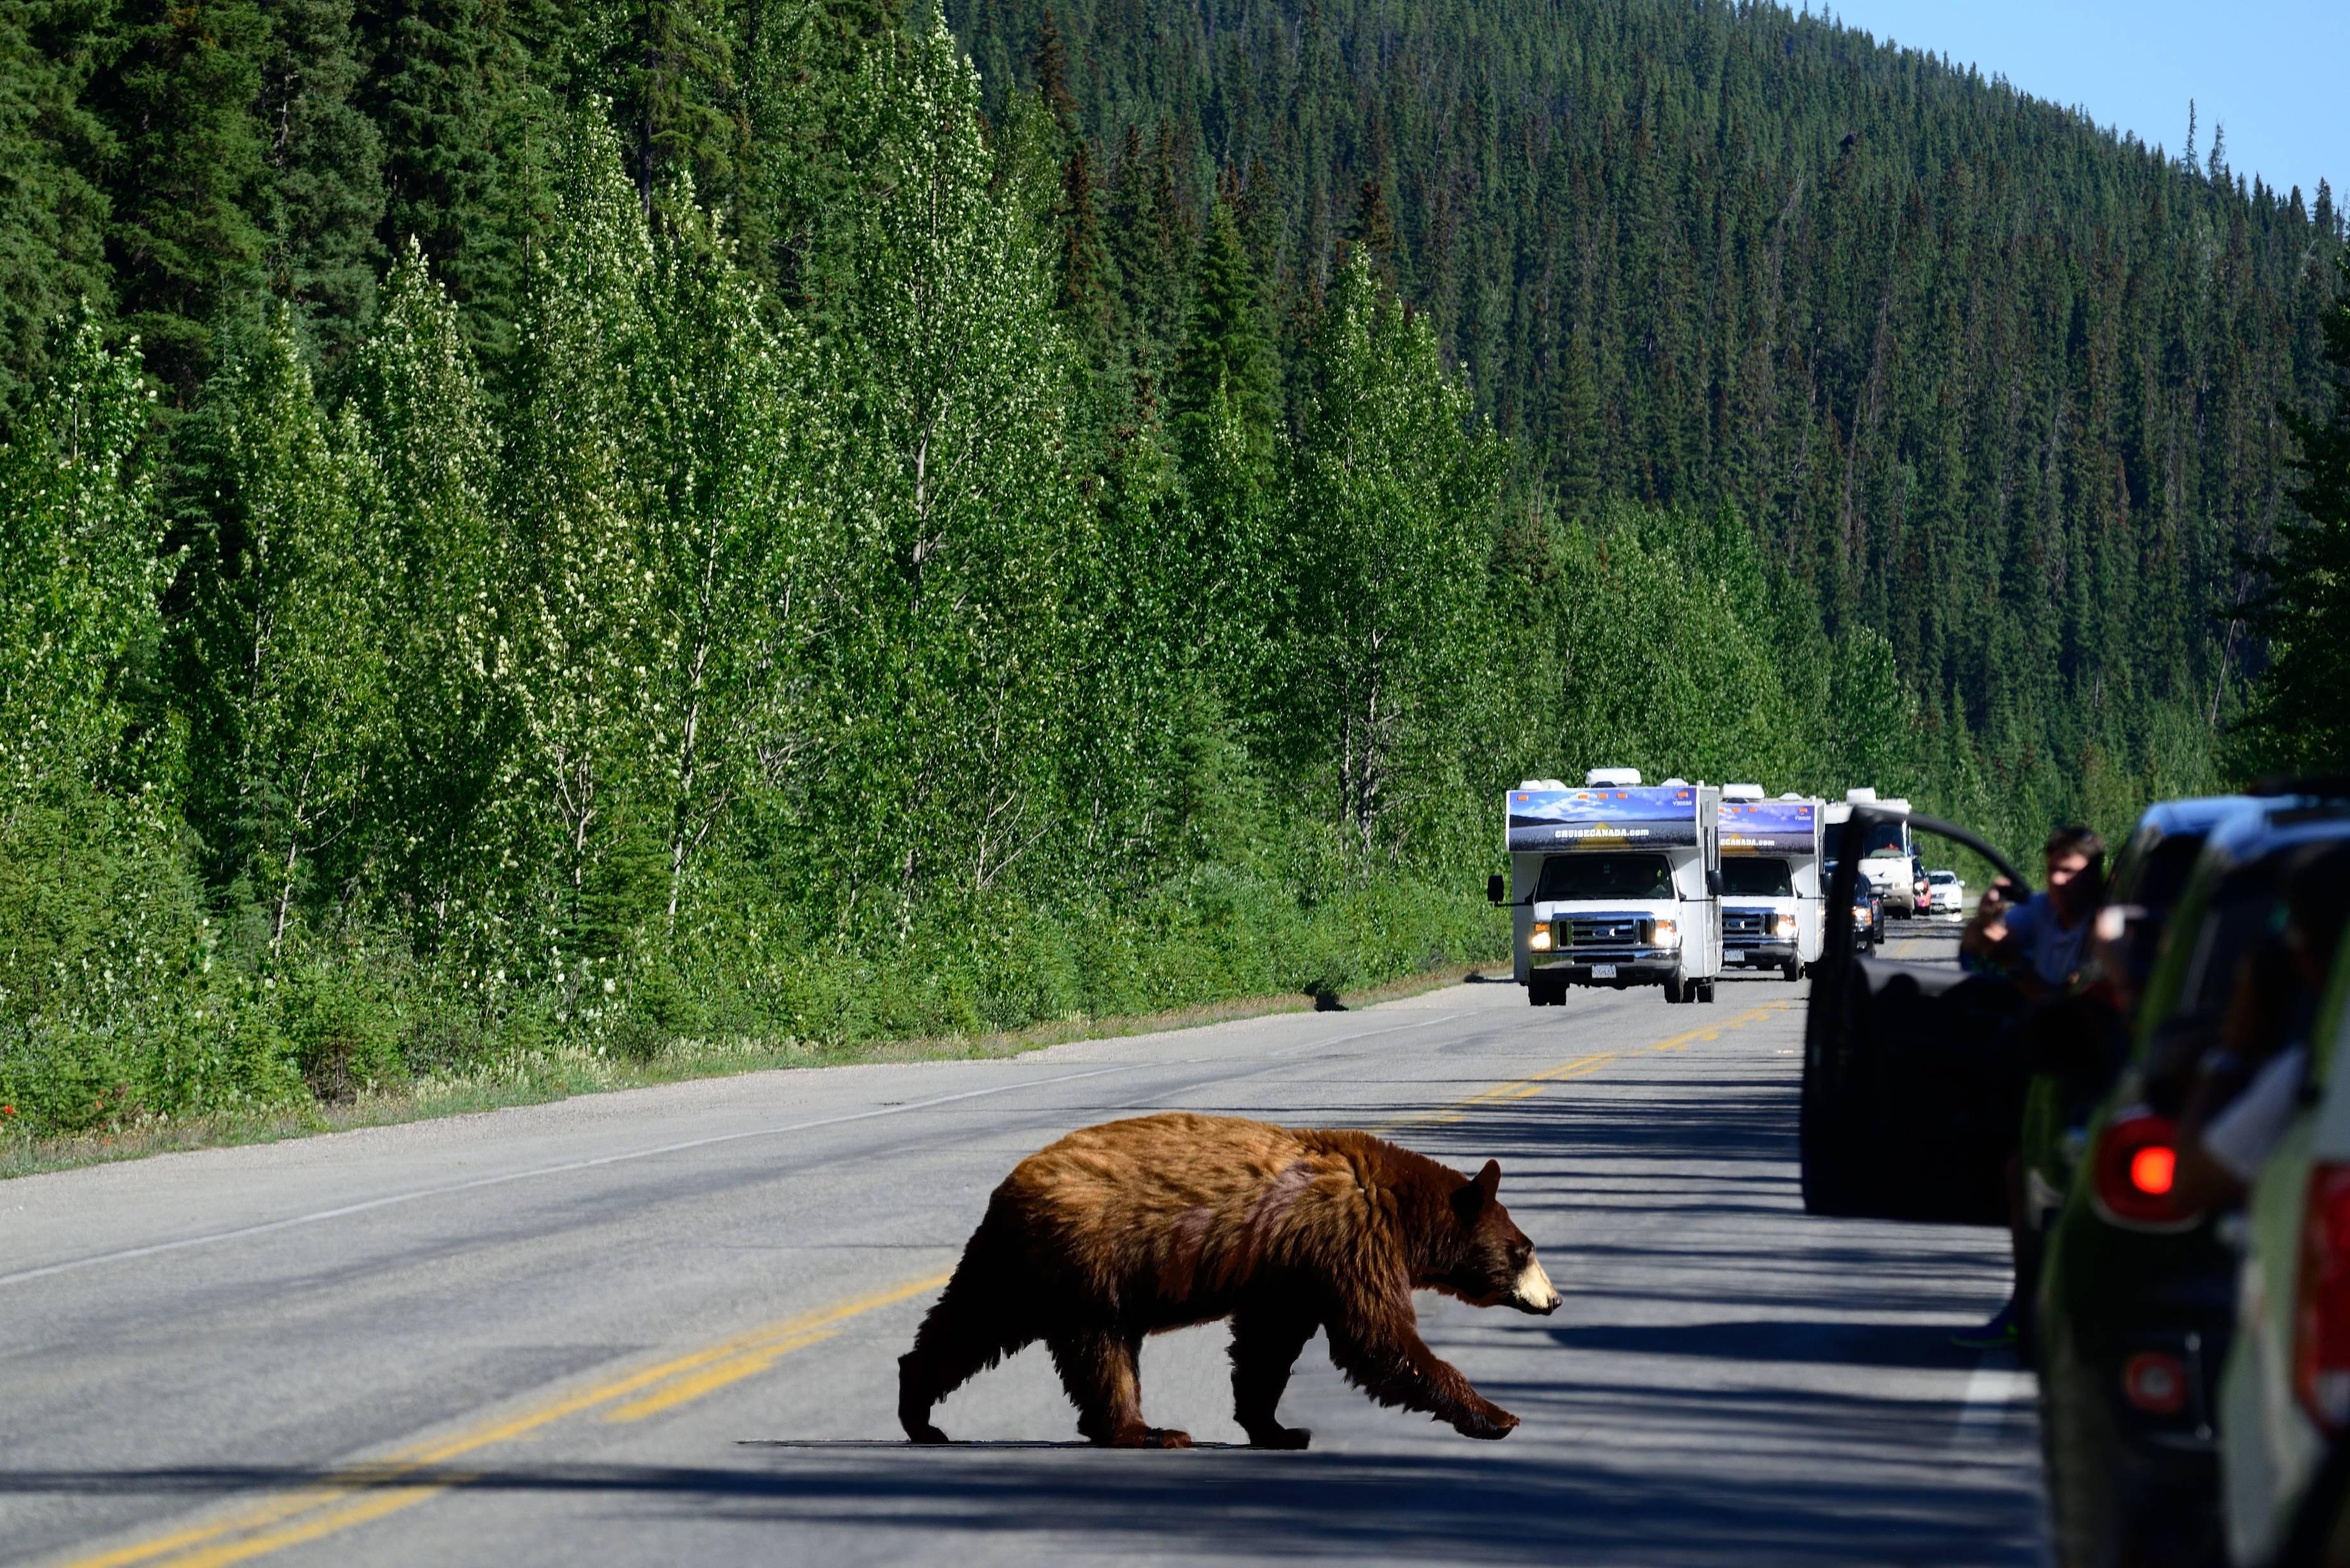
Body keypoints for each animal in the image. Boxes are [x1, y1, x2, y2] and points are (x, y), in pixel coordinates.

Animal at [897, 1109, 1560, 1457]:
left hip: (1014, 1267)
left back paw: (920, 1415)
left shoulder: (1289, 1271)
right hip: (1088, 1260)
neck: (1399, 1205)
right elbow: (1377, 1338)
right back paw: (1148, 1431)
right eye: (1524, 1249)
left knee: (965, 1326)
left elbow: (1267, 1348)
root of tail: (1010, 1187)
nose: (1554, 1299)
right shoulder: (1348, 1240)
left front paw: (1278, 1429)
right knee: (1099, 1349)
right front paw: (1497, 1414)